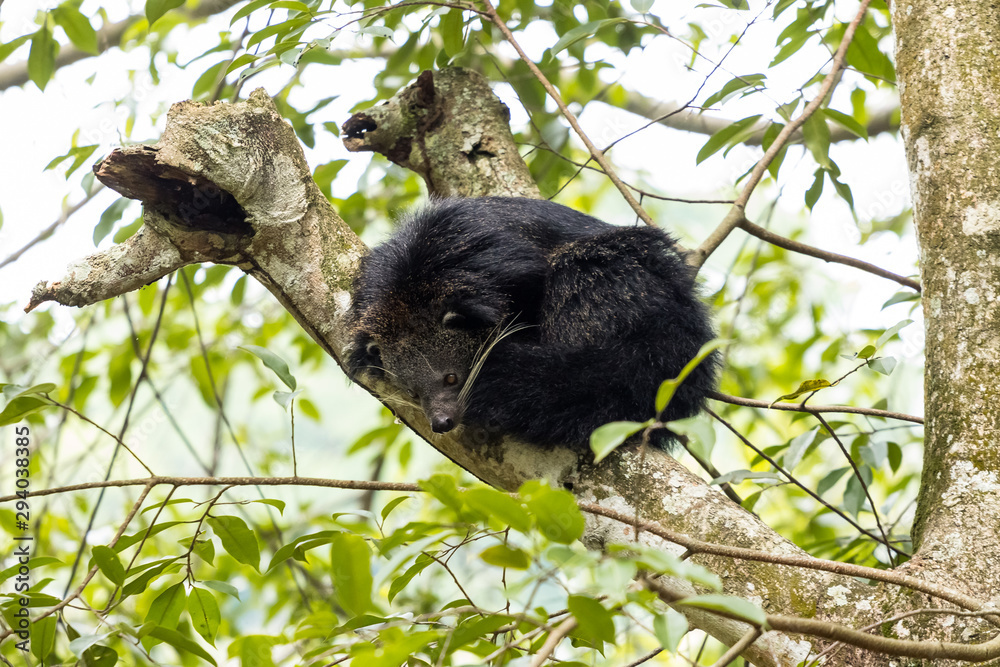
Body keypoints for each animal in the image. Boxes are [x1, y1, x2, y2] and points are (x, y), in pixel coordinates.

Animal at [345, 197, 718, 450]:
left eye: (451, 378)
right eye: (413, 392)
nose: (441, 422)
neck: (410, 284)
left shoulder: (501, 258)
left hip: (621, 280)